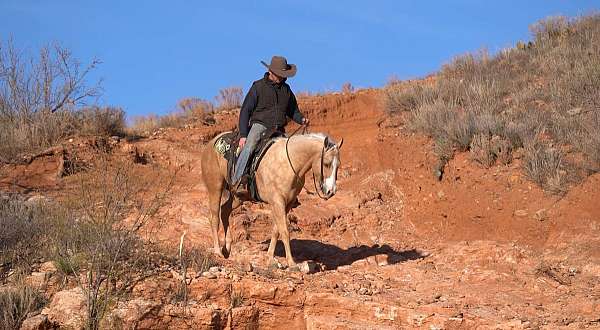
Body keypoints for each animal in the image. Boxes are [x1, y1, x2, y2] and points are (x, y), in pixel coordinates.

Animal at [200, 131, 342, 268]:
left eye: (338, 166)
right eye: (326, 164)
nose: (331, 191)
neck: (288, 163)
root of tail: (211, 143)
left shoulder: (286, 204)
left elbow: (276, 231)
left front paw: (270, 258)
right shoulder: (278, 202)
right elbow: (285, 231)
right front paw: (291, 263)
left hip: (238, 197)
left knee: (224, 211)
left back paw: (227, 248)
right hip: (215, 189)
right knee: (214, 217)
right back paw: (217, 251)